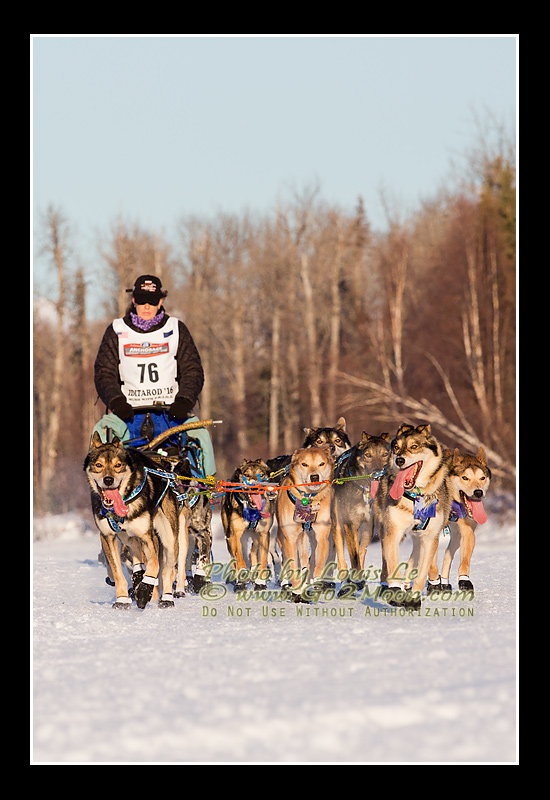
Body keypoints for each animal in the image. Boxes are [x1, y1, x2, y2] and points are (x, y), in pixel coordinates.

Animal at [84, 434, 190, 608]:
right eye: (98, 465)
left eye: (118, 465)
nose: (108, 480)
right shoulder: (107, 536)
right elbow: (117, 572)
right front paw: (122, 600)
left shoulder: (147, 536)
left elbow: (154, 565)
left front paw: (144, 590)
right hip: (127, 537)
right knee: (136, 555)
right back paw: (138, 575)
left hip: (170, 539)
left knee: (169, 570)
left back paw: (167, 597)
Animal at [222, 460, 278, 592]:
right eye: (246, 475)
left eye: (261, 475)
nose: (254, 486)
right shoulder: (235, 534)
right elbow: (239, 558)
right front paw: (241, 580)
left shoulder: (263, 534)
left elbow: (262, 559)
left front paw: (260, 582)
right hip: (229, 537)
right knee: (235, 557)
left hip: (255, 535)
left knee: (252, 551)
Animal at [278, 444, 334, 600]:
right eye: (304, 464)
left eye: (321, 463)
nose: (314, 476)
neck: (307, 499)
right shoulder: (290, 538)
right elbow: (293, 565)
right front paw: (296, 590)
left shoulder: (322, 536)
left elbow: (318, 562)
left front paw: (316, 581)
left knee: (308, 558)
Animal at [376, 424, 452, 608]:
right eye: (396, 448)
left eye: (414, 446)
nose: (399, 460)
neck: (416, 495)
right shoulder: (393, 534)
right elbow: (393, 566)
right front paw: (395, 591)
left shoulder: (430, 538)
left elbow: (421, 573)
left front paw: (414, 597)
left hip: (422, 538)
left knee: (418, 558)